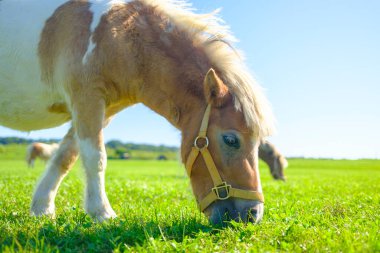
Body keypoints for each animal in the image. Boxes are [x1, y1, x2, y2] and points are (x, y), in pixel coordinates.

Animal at [0, 0, 276, 224]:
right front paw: (102, 213)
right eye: (231, 139)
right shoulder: (86, 98)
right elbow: (96, 157)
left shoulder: (104, 109)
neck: (117, 34)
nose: (253, 214)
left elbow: (65, 156)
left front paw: (42, 208)